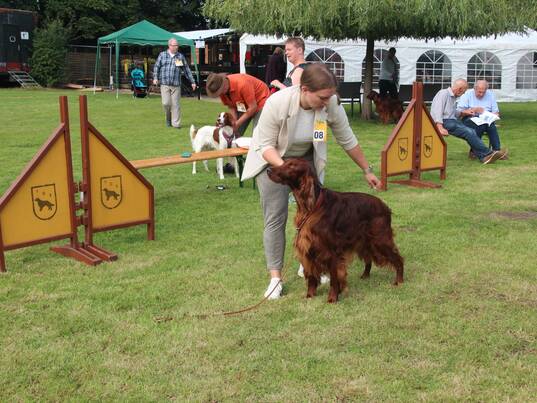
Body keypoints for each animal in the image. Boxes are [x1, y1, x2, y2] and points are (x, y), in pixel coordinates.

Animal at [267, 158, 404, 303]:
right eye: (284, 162)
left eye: (291, 166)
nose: (268, 170)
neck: (312, 207)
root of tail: (385, 206)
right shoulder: (307, 248)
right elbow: (311, 277)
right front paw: (310, 295)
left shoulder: (331, 251)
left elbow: (334, 278)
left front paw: (333, 298)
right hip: (364, 242)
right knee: (368, 259)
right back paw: (365, 275)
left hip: (380, 240)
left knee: (398, 259)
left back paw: (399, 281)